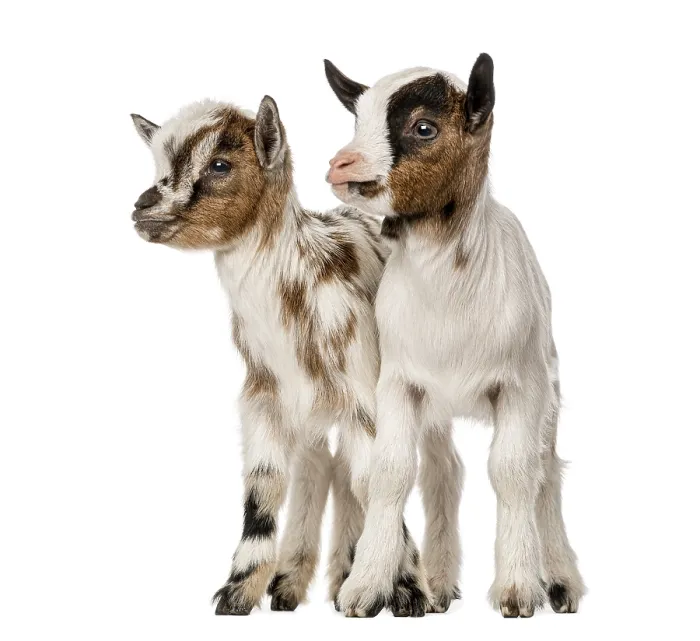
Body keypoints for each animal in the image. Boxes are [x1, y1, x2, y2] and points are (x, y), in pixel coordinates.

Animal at [130, 96, 429, 615]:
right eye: (158, 162)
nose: (142, 208)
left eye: (220, 164)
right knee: (322, 467)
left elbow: (376, 480)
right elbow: (263, 484)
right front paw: (239, 590)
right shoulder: (265, 395)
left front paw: (405, 590)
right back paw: (295, 582)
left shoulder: (365, 392)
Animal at [324, 53, 585, 618]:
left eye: (424, 127)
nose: (342, 165)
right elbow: (392, 472)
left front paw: (518, 589)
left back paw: (561, 580)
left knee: (547, 470)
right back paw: (440, 584)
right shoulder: (398, 382)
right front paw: (366, 587)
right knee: (445, 471)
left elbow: (514, 472)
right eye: (357, 119)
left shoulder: (521, 385)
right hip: (436, 406)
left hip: (550, 389)